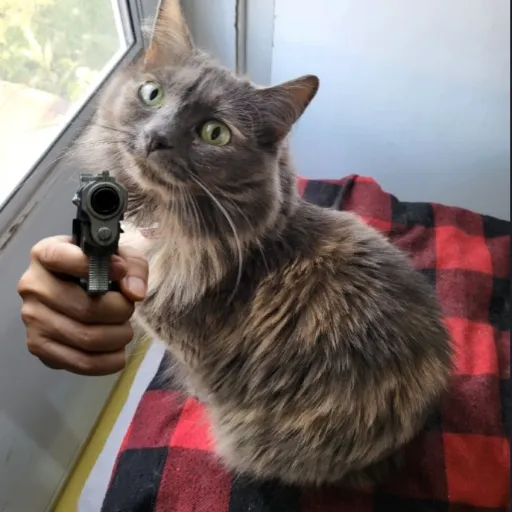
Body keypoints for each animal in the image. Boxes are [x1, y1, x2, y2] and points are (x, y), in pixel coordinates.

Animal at [75, 0, 453, 488]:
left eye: (214, 133)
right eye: (152, 94)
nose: (157, 138)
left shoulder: (189, 348)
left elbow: (202, 385)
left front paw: (196, 397)